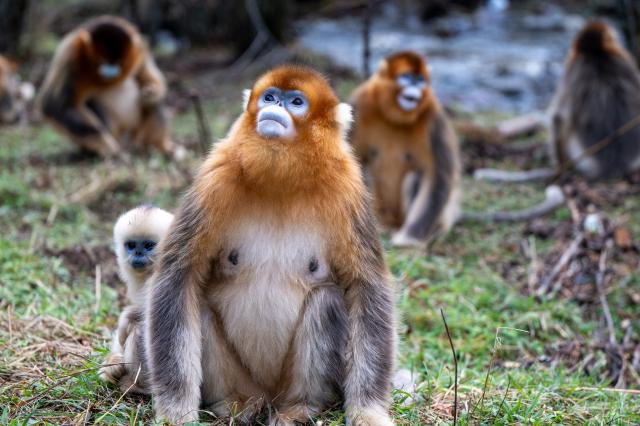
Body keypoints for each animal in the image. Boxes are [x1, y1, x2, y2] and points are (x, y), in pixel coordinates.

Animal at [37, 15, 183, 159]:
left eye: (118, 62)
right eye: (102, 61)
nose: (110, 71)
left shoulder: (140, 45)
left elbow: (148, 77)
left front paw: (152, 93)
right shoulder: (69, 54)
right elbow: (56, 106)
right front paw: (105, 144)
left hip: (136, 135)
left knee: (154, 105)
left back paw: (160, 147)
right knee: (91, 103)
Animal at [125, 66, 396, 425]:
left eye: (296, 102)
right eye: (269, 96)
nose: (275, 106)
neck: (280, 179)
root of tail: (268, 395)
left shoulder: (348, 189)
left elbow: (367, 287)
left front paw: (368, 411)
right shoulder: (214, 177)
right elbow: (177, 278)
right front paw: (176, 413)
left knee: (325, 300)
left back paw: (298, 407)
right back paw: (236, 404)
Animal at [350, 51, 461, 248]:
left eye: (420, 80)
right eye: (407, 77)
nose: (415, 85)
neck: (395, 117)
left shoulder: (434, 117)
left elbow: (438, 177)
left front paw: (409, 239)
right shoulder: (359, 102)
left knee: (416, 175)